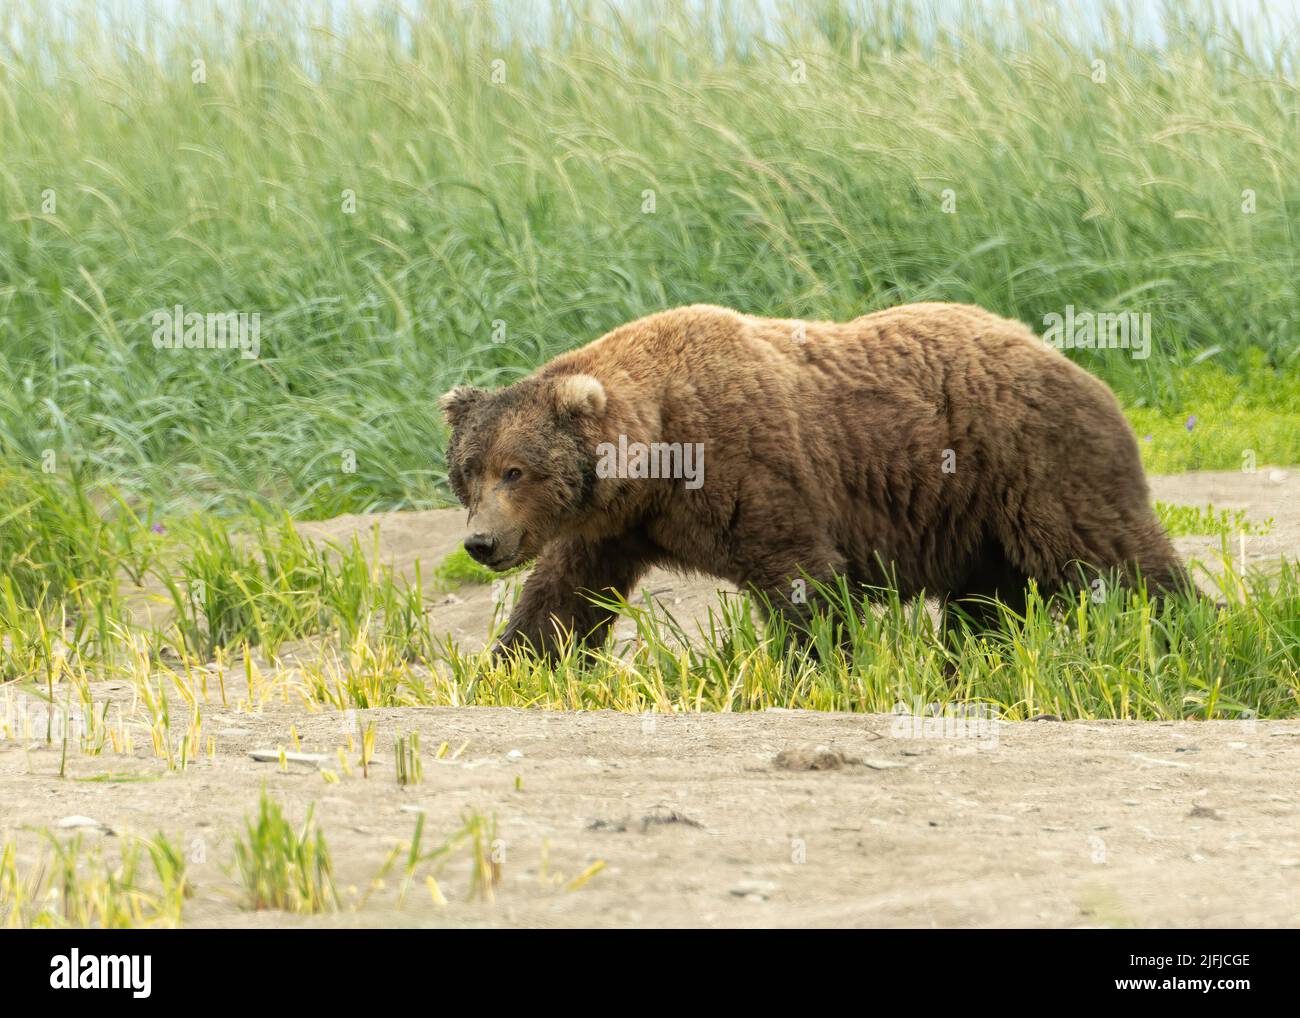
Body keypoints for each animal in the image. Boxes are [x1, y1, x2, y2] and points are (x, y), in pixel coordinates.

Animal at [441, 302, 1190, 657]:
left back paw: (1187, 631)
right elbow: (562, 599)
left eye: (516, 470)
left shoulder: (750, 468)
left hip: (1035, 465)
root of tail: (1077, 366)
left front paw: (821, 664)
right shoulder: (612, 526)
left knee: (1116, 559)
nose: (481, 543)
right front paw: (515, 663)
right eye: (467, 473)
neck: (658, 459)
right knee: (984, 605)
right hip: (975, 516)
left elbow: (803, 579)